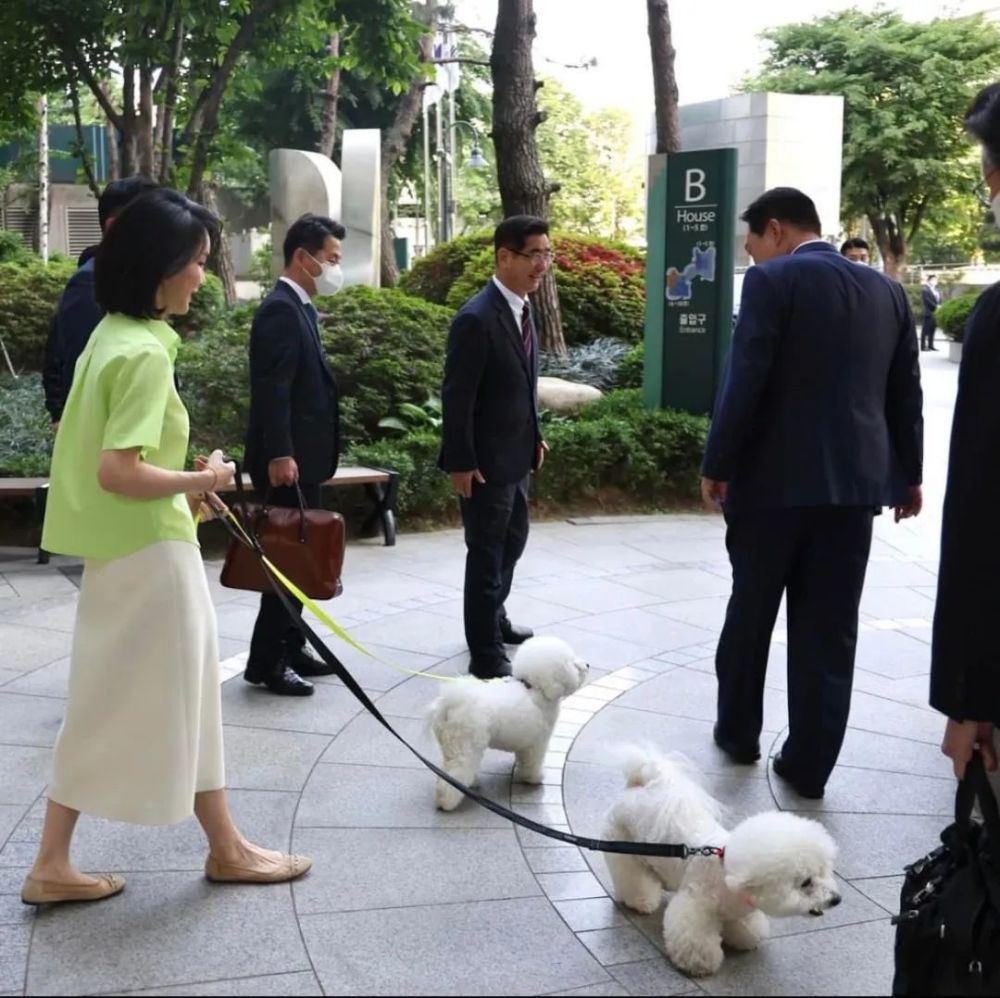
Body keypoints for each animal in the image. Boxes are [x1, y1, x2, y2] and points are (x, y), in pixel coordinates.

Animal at [428, 640, 584, 812]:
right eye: (572, 662)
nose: (587, 665)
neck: (533, 688)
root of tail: (451, 704)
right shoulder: (538, 743)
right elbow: (534, 762)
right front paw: (534, 778)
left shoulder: (525, 741)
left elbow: (523, 758)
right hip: (466, 744)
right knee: (455, 773)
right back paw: (446, 802)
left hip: (451, 744)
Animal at [600, 752, 844, 976]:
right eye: (806, 882)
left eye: (825, 871)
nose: (836, 899)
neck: (729, 876)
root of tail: (638, 784)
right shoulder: (696, 905)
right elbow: (695, 937)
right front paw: (700, 962)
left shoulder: (738, 910)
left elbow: (747, 928)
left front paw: (744, 937)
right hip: (621, 845)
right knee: (632, 877)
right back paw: (641, 901)